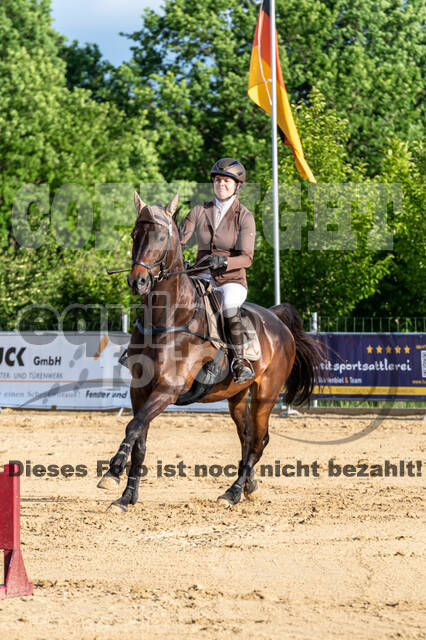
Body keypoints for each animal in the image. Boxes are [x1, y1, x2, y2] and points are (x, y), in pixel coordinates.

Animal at [97, 191, 322, 512]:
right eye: (134, 234)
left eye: (162, 236)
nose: (137, 282)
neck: (168, 317)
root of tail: (278, 321)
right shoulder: (140, 389)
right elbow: (140, 438)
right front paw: (126, 497)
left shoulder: (168, 389)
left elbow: (133, 426)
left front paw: (113, 471)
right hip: (237, 395)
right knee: (246, 436)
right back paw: (249, 485)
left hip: (266, 393)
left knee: (259, 441)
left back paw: (234, 492)